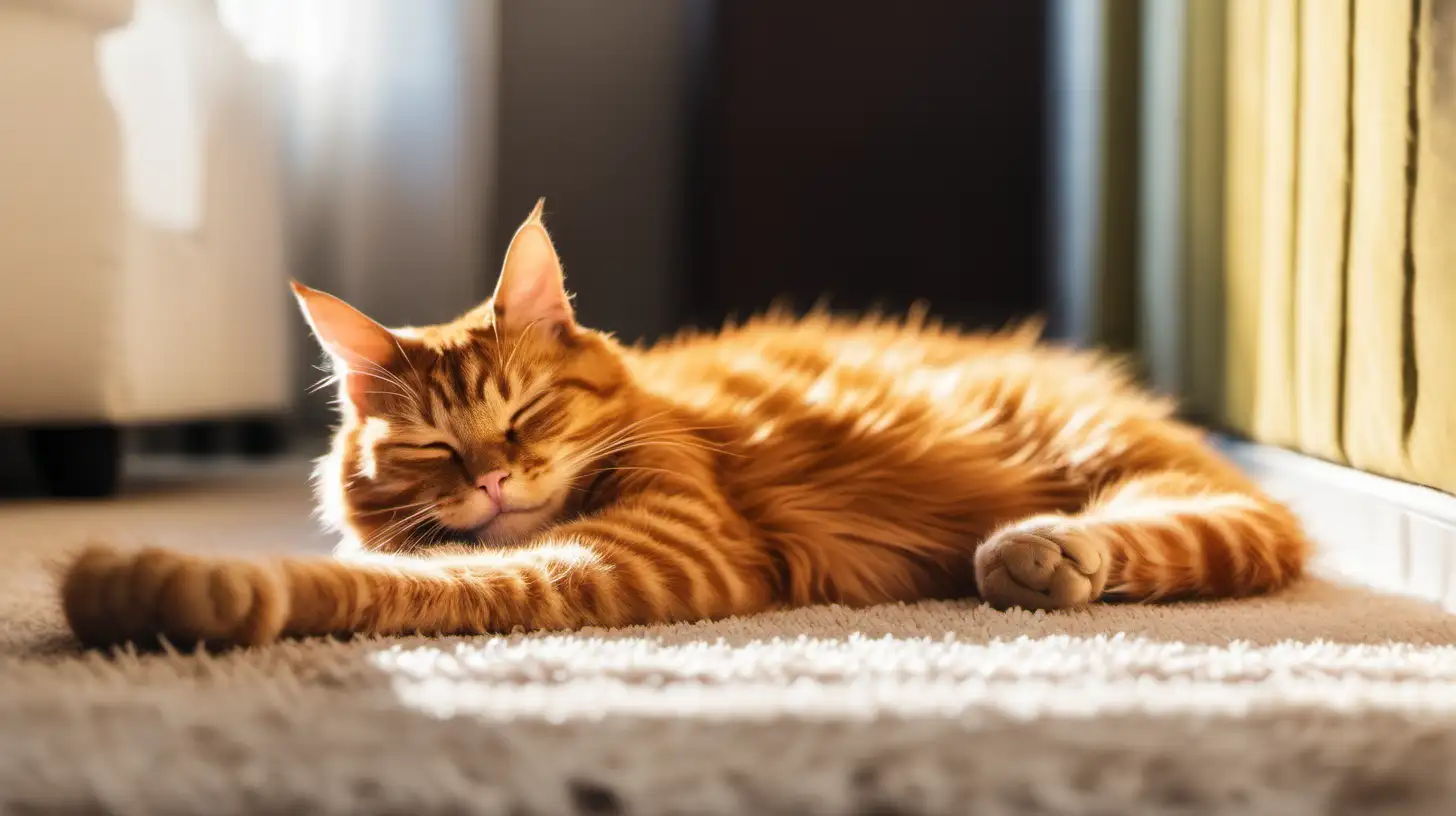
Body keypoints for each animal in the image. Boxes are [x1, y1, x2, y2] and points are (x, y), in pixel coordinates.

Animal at [59, 201, 1310, 646]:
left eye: (525, 414)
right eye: (431, 449)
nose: (490, 481)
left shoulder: (667, 552)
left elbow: (406, 584)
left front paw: (167, 586)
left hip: (1119, 472)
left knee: (1219, 530)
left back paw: (1040, 555)